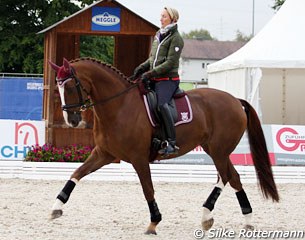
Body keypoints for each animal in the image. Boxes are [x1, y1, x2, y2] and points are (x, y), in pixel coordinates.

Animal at [48, 58, 278, 234]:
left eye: (70, 87)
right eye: (58, 87)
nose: (72, 120)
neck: (119, 106)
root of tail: (236, 101)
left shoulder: (139, 158)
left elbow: (147, 188)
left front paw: (154, 221)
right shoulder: (103, 154)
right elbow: (77, 173)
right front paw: (56, 207)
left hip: (219, 150)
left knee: (227, 177)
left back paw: (218, 216)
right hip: (214, 149)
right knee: (232, 177)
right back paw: (234, 219)